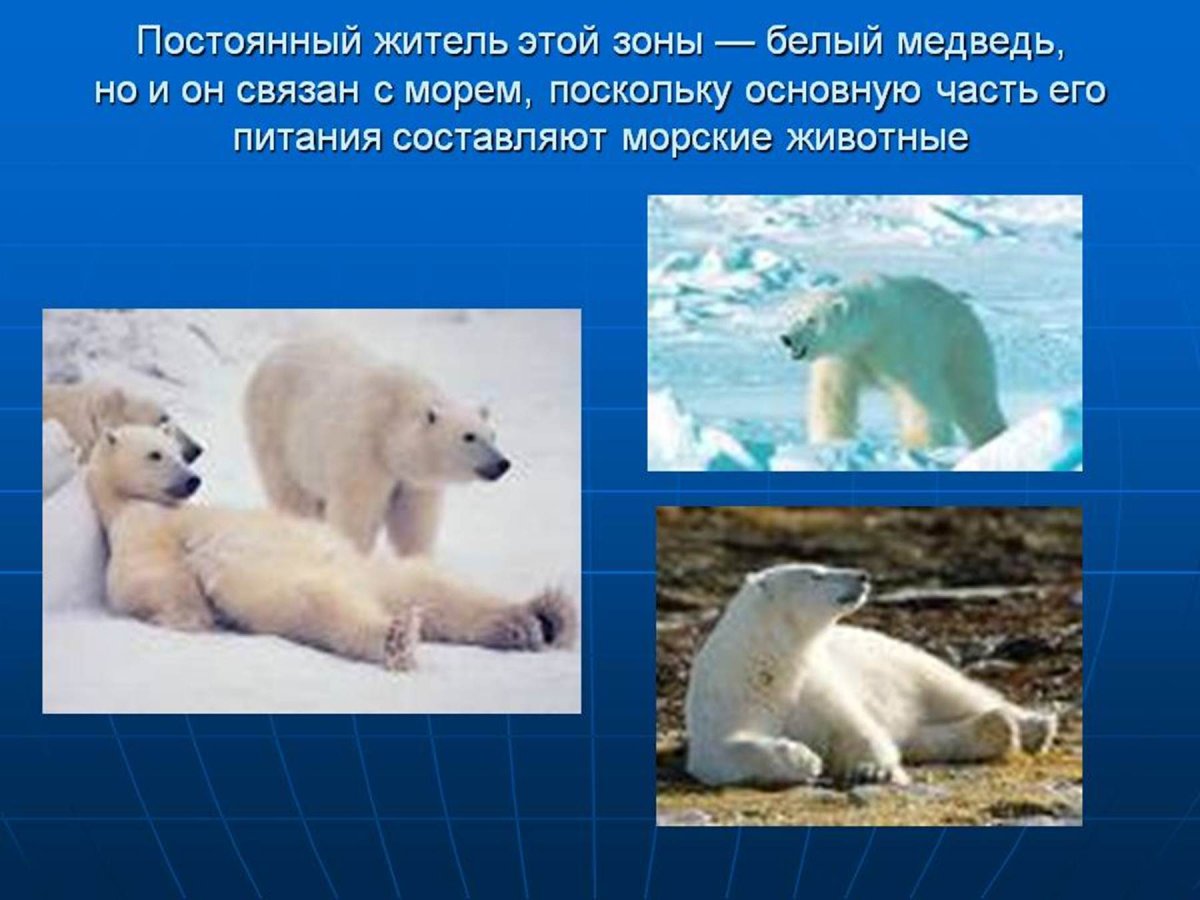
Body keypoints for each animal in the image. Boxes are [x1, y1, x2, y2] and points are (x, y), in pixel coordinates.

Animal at [85, 425, 575, 668]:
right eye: (155, 454)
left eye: (178, 453)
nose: (191, 480)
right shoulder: (138, 530)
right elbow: (150, 578)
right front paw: (191, 618)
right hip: (292, 584)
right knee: (320, 604)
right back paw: (397, 637)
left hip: (372, 569)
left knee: (436, 589)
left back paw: (539, 617)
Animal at [244, 337, 510, 557]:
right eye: (469, 436)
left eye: (493, 435)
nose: (502, 463)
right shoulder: (363, 454)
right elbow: (356, 515)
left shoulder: (413, 484)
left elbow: (414, 523)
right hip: (276, 432)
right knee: (291, 495)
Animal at [685, 563, 1056, 787]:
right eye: (815, 574)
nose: (862, 575)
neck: (773, 659)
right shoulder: (731, 690)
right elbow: (724, 748)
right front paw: (806, 760)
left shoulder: (814, 682)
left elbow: (853, 726)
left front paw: (874, 770)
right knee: (922, 735)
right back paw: (995, 730)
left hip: (901, 661)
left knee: (953, 691)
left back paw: (1036, 726)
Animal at [779, 275, 1006, 450]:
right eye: (792, 317)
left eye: (811, 319)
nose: (786, 338)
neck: (871, 326)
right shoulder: (842, 356)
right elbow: (832, 395)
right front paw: (830, 441)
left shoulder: (897, 343)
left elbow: (918, 396)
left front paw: (919, 444)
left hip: (960, 347)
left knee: (974, 397)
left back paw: (991, 437)